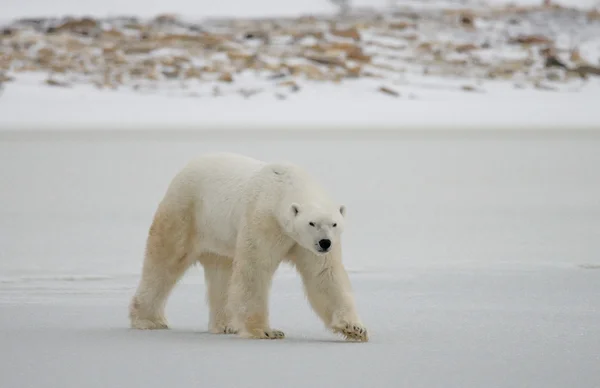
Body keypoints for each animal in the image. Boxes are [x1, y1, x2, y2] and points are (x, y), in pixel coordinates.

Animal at [129, 153, 368, 342]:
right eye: (311, 223)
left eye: (334, 224)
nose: (325, 242)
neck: (285, 186)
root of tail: (185, 168)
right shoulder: (264, 220)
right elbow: (254, 269)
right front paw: (265, 331)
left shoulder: (307, 246)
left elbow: (324, 275)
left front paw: (355, 328)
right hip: (186, 212)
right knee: (165, 261)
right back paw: (148, 320)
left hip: (219, 237)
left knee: (222, 273)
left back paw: (226, 325)